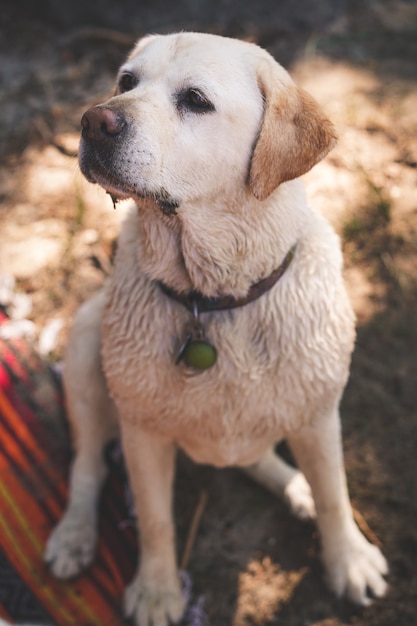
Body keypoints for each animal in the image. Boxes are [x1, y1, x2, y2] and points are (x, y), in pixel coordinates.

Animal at [44, 33, 386, 624]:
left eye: (196, 99)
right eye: (126, 81)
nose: (94, 121)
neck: (213, 300)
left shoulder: (319, 413)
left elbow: (335, 494)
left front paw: (349, 560)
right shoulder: (143, 432)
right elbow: (155, 520)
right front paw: (157, 591)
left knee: (262, 459)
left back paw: (295, 487)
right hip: (88, 347)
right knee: (87, 464)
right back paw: (74, 535)